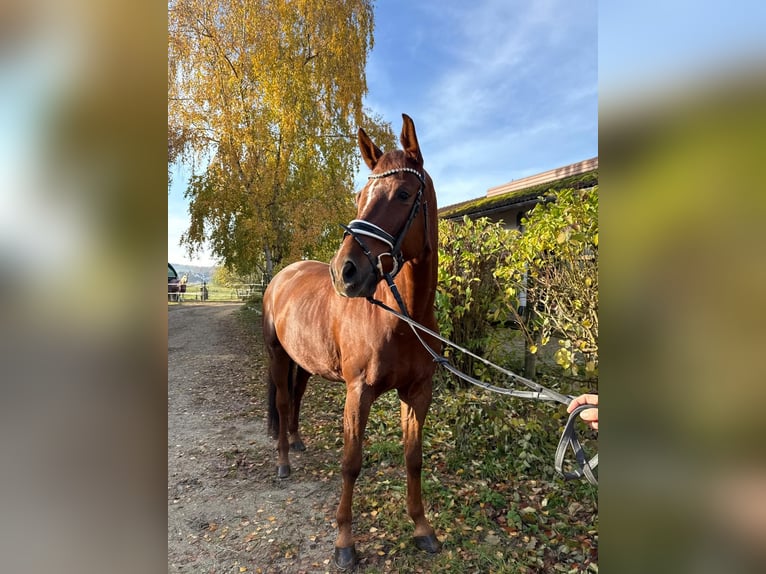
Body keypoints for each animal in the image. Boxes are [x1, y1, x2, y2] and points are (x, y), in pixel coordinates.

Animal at [262, 114, 441, 570]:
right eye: (361, 195)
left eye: (404, 193)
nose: (345, 271)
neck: (402, 318)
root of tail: (281, 276)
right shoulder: (358, 393)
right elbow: (351, 463)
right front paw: (345, 542)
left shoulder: (418, 392)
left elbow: (413, 457)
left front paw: (422, 528)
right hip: (277, 354)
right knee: (284, 402)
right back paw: (283, 463)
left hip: (305, 361)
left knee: (297, 397)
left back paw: (296, 441)